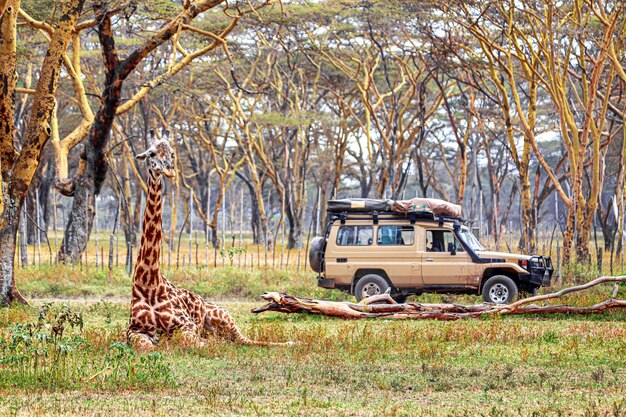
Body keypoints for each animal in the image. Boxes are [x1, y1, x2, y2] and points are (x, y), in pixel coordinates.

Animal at [129, 127, 290, 348]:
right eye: (151, 154)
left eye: (172, 153)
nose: (169, 170)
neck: (148, 282)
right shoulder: (133, 330)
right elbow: (143, 346)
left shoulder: (186, 325)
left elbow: (189, 342)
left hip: (222, 317)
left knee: (243, 339)